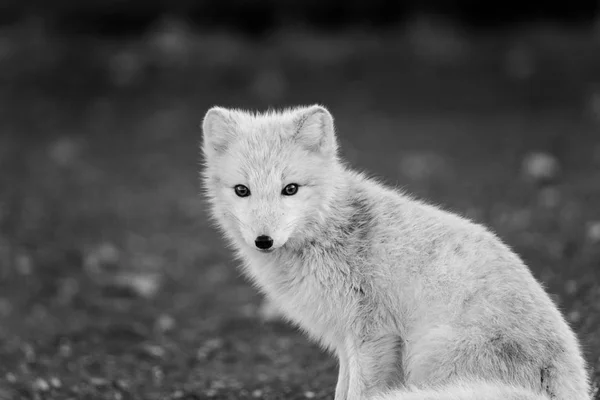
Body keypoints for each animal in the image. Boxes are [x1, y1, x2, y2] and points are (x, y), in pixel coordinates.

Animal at [200, 104, 592, 398]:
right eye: (242, 190)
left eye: (290, 189)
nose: (263, 240)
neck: (331, 231)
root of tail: (571, 386)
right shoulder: (347, 340)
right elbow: (342, 391)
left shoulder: (373, 334)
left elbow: (359, 393)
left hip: (428, 356)